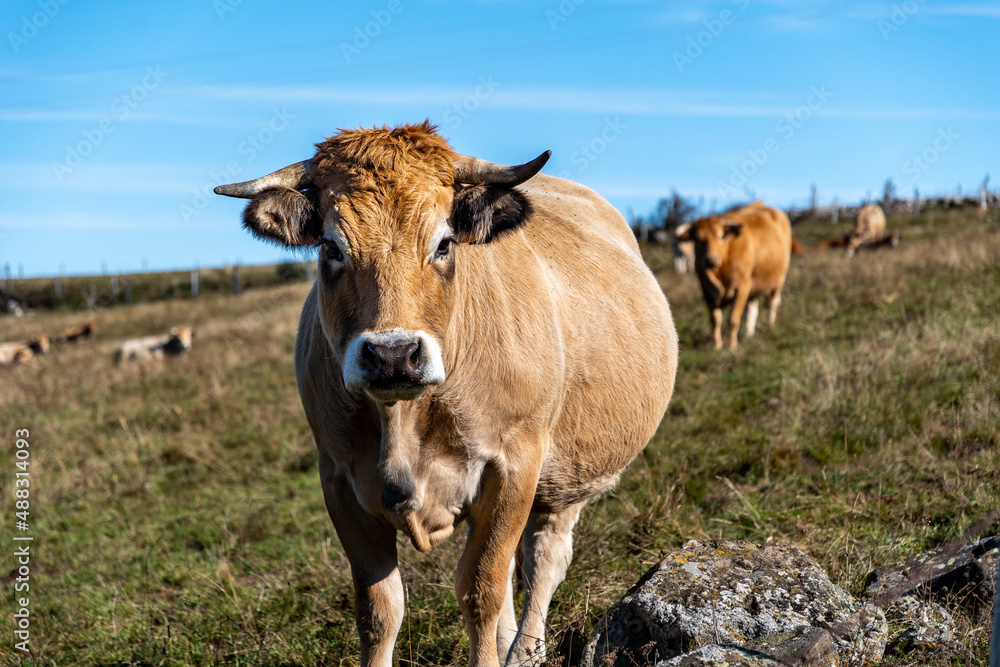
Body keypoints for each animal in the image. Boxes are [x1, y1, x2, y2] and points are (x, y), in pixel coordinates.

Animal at [213, 121, 680, 667]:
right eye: (331, 248)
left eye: (443, 244)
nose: (393, 354)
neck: (404, 417)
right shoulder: (339, 480)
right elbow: (380, 609)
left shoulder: (514, 465)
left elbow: (481, 589)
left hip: (565, 479)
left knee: (543, 559)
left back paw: (525, 651)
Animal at [676, 202, 792, 350]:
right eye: (697, 239)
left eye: (720, 236)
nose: (711, 260)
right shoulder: (706, 290)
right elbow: (715, 319)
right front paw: (717, 345)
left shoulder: (742, 287)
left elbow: (733, 318)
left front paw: (732, 346)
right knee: (752, 308)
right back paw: (748, 334)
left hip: (778, 281)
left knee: (772, 302)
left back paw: (769, 326)